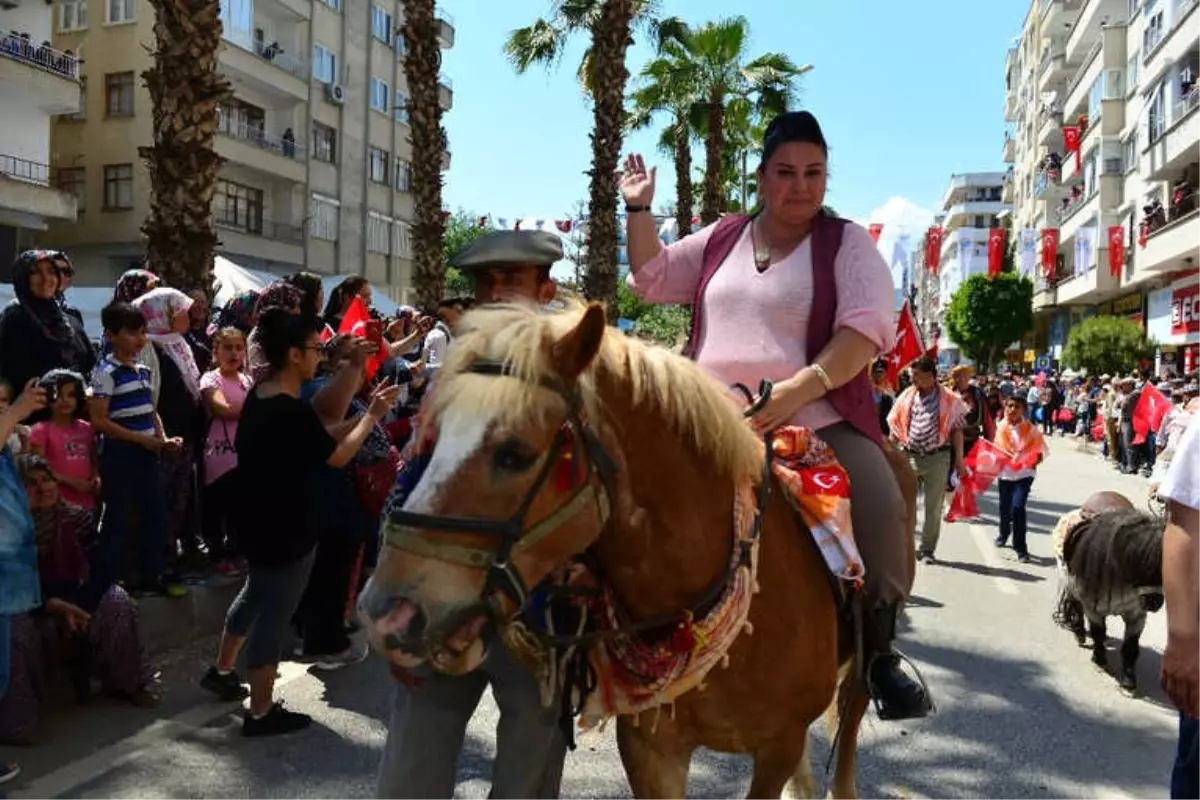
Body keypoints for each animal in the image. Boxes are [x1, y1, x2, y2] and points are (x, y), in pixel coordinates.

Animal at [360, 302, 912, 800]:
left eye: (515, 454)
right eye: (430, 440)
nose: (385, 612)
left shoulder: (778, 745)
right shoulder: (652, 749)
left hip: (859, 678)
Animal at [1056, 491, 1166, 690]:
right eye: (1137, 560)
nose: (1154, 602)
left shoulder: (1136, 614)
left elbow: (1130, 646)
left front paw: (1128, 682)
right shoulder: (1093, 609)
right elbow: (1097, 633)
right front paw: (1100, 661)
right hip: (1069, 582)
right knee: (1076, 607)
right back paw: (1079, 633)